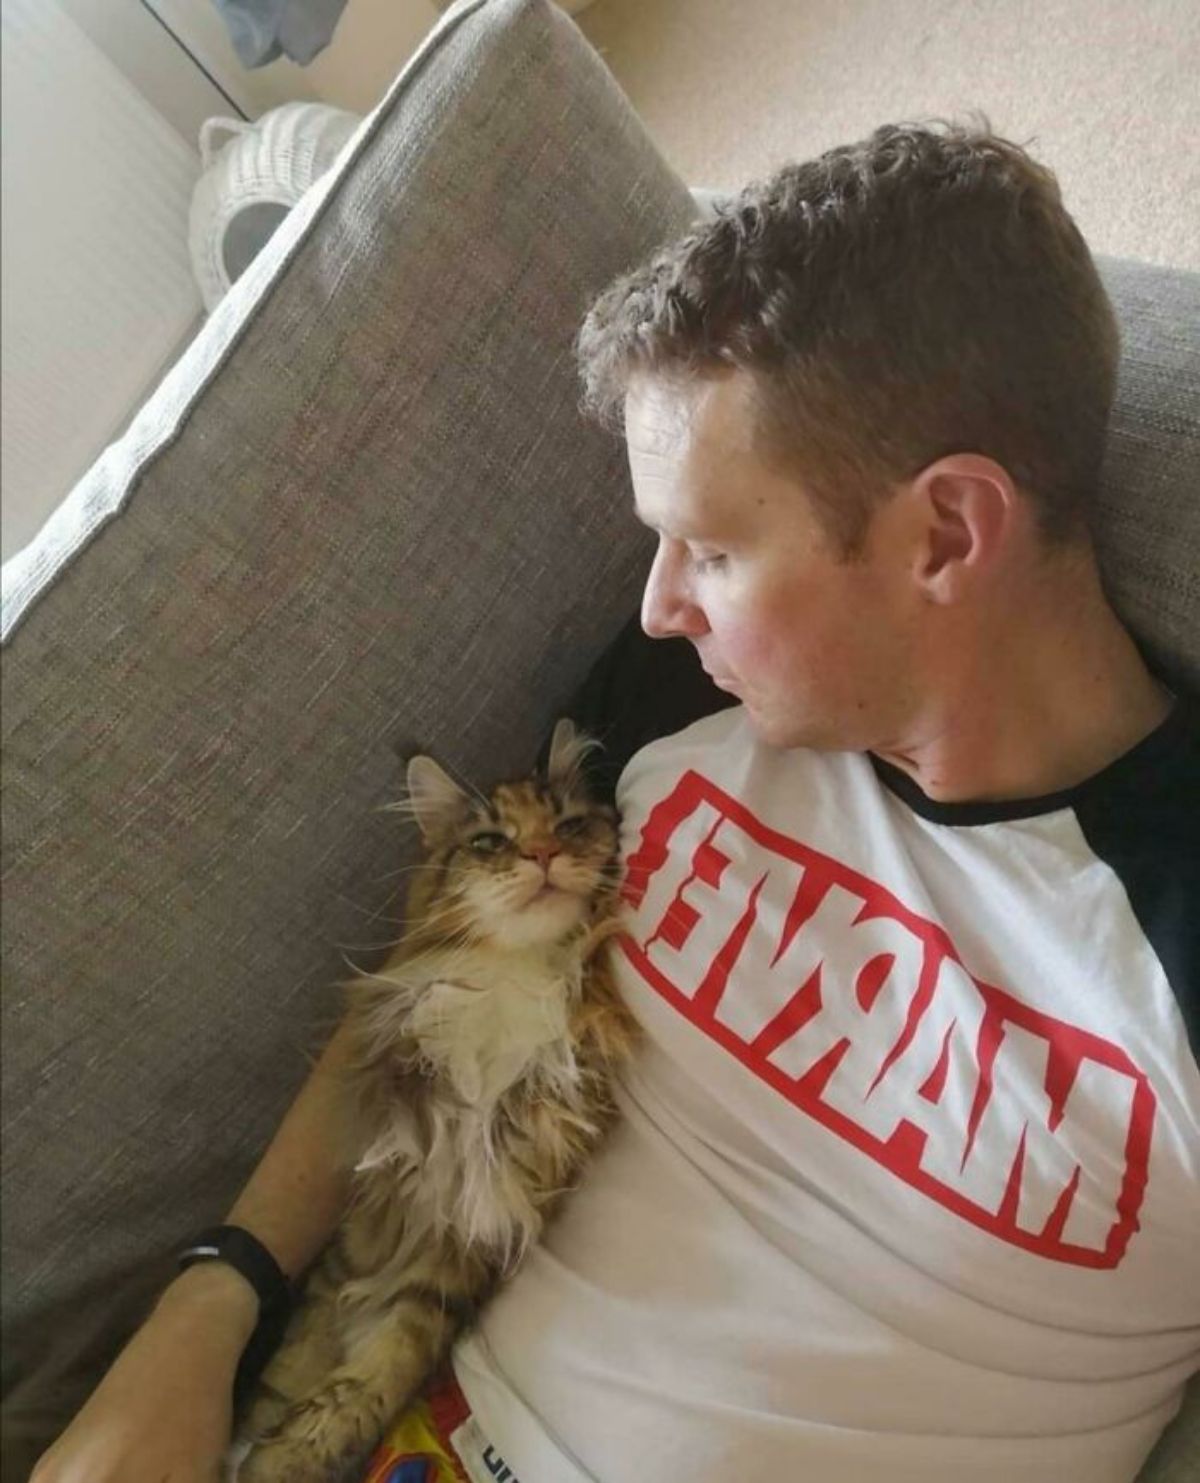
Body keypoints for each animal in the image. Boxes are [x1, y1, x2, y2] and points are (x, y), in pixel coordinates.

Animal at [231, 711, 637, 1477]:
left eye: (568, 825)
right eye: (490, 842)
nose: (542, 853)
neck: (515, 979)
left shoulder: (458, 1246)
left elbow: (376, 1373)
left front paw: (292, 1456)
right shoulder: (369, 1227)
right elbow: (289, 1374)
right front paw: (256, 1445)